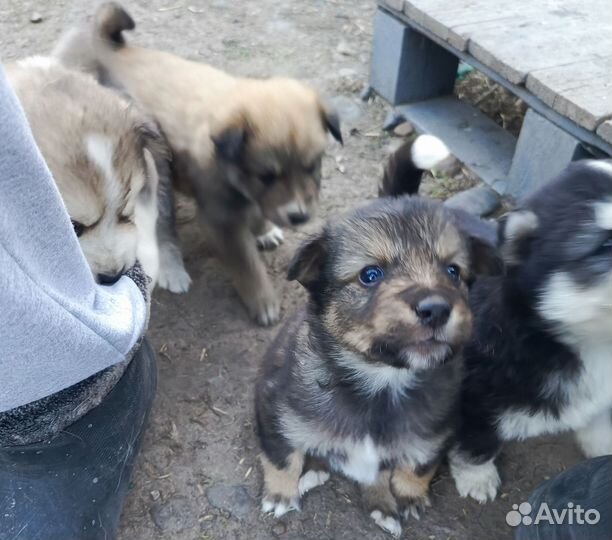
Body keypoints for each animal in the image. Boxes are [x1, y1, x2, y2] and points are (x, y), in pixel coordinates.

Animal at [54, 2, 342, 324]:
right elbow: (247, 264)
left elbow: (257, 211)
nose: (299, 216)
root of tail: (101, 41)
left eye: (312, 166)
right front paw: (263, 301)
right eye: (266, 176)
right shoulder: (222, 220)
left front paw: (264, 230)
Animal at [253, 134, 502, 536]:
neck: (381, 383)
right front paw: (280, 495)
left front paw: (408, 495)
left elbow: (418, 464)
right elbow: (282, 457)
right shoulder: (273, 410)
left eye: (453, 271)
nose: (436, 308)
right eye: (370, 275)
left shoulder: (436, 429)